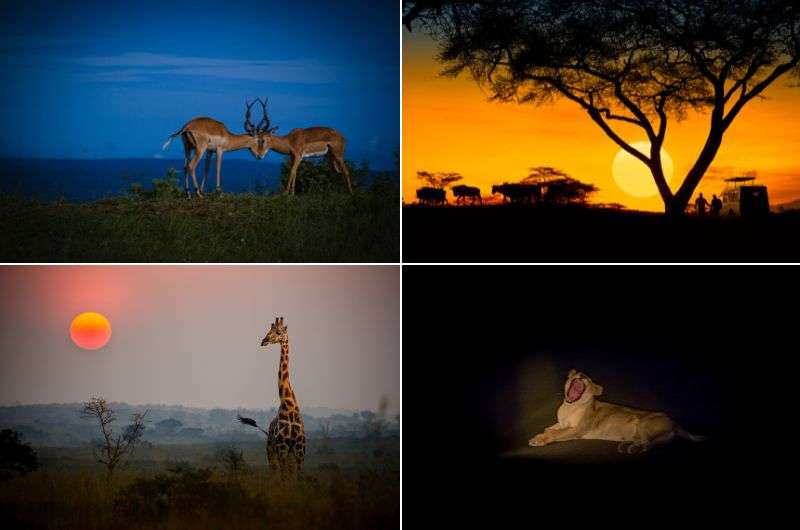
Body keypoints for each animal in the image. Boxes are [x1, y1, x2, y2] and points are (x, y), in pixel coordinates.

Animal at [238, 316, 306, 476]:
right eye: (269, 330)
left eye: (278, 332)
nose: (264, 341)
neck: (290, 408)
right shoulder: (281, 450)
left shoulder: (300, 452)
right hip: (271, 452)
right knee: (274, 474)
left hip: (289, 455)